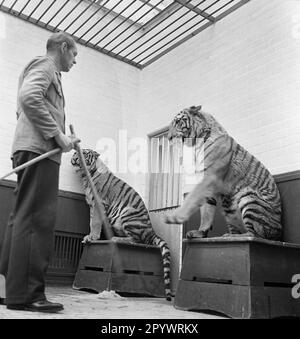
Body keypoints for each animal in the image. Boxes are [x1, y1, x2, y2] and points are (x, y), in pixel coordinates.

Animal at [70, 150, 172, 302]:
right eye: (75, 153)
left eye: (84, 153)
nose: (75, 158)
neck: (85, 175)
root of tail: (152, 231)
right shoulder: (92, 206)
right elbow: (92, 221)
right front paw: (91, 236)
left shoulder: (99, 204)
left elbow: (95, 223)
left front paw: (92, 238)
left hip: (128, 215)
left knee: (137, 240)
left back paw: (115, 239)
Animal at [163, 106, 282, 242]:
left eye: (178, 122)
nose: (168, 138)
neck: (197, 143)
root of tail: (278, 233)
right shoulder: (208, 185)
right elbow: (206, 211)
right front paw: (201, 232)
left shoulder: (208, 178)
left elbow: (192, 198)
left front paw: (175, 216)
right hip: (228, 207)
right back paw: (230, 235)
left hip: (249, 198)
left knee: (255, 235)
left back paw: (236, 236)